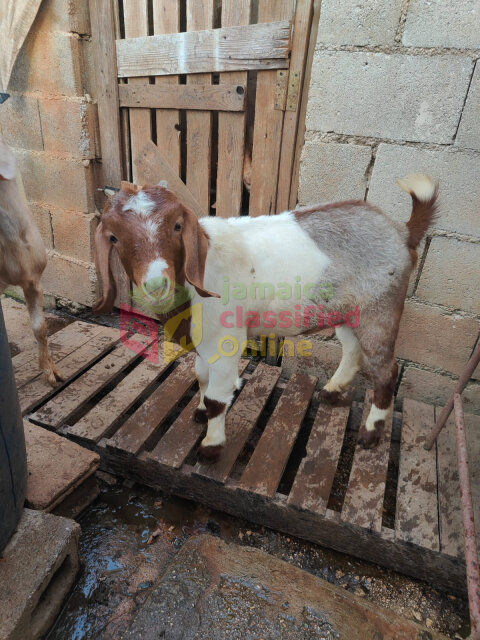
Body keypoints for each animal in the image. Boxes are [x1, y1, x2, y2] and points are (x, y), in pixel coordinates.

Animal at [94, 175, 437, 458]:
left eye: (176, 226)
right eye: (114, 237)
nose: (156, 284)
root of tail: (402, 231)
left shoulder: (224, 339)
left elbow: (218, 396)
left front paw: (211, 446)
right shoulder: (205, 340)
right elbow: (202, 377)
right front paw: (200, 412)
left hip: (379, 308)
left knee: (386, 369)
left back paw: (370, 433)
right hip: (348, 310)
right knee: (352, 349)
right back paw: (332, 391)